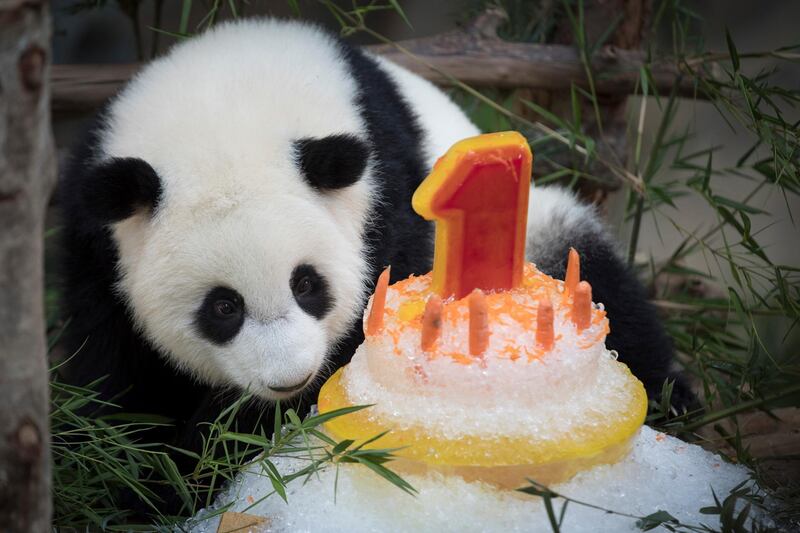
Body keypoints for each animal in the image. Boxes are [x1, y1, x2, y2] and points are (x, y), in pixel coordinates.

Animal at [61, 18, 688, 512]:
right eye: (222, 307)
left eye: (307, 284)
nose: (287, 378)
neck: (222, 115)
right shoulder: (94, 242)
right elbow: (112, 381)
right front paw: (143, 480)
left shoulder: (386, 191)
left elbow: (359, 335)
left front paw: (223, 452)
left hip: (544, 230)